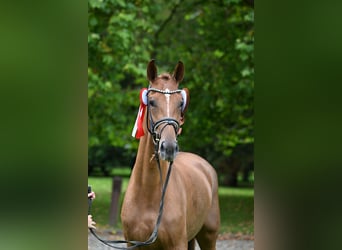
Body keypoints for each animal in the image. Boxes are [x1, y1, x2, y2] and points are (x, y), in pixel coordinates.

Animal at [121, 59, 220, 249]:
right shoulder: (132, 244)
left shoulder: (177, 244)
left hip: (208, 236)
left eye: (180, 103)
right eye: (152, 102)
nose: (169, 148)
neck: (147, 194)